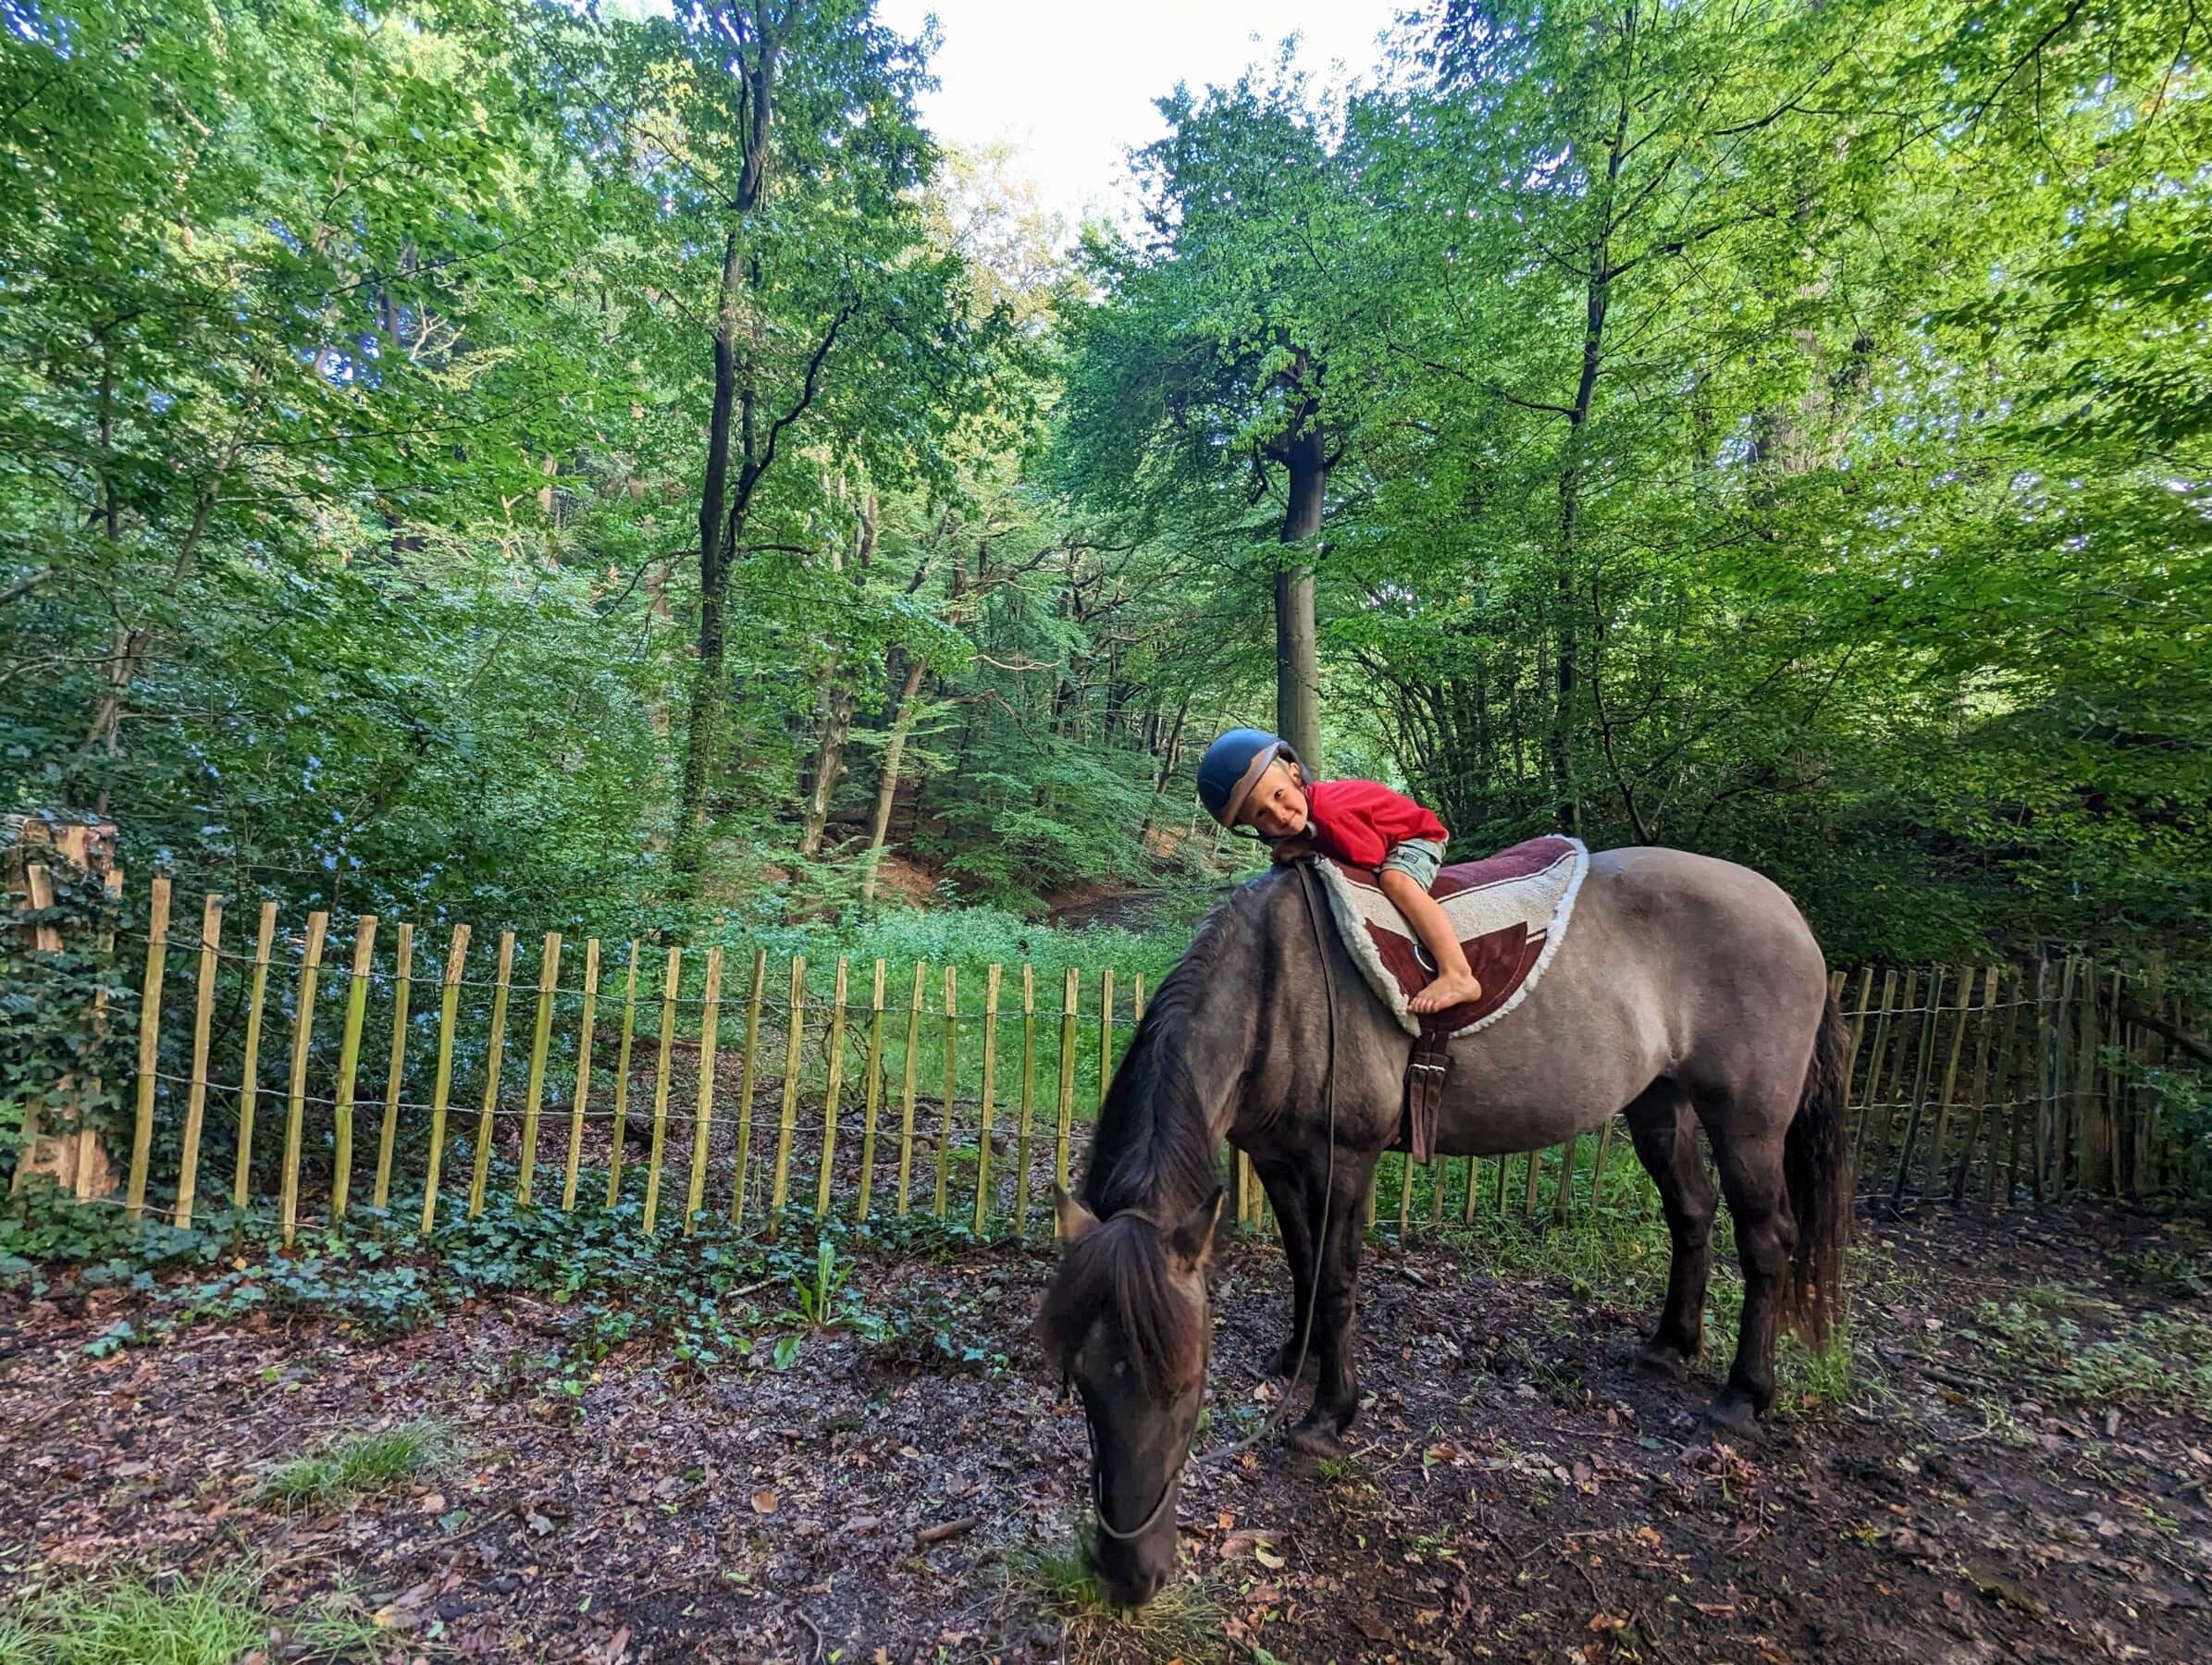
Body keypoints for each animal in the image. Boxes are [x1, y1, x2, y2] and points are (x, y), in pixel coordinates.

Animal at [1037, 847, 1849, 1608]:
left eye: (1185, 1387)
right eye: (1080, 1383)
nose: (1128, 1575)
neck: (1274, 986)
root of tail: (1789, 914)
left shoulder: (1343, 1158)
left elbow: (1336, 1282)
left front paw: (1327, 1417)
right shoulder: (1275, 1158)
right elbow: (1302, 1264)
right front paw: (1293, 1357)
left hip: (1746, 1125)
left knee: (1765, 1241)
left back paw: (1741, 1397)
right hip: (1659, 1103)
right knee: (1691, 1212)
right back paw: (1668, 1346)